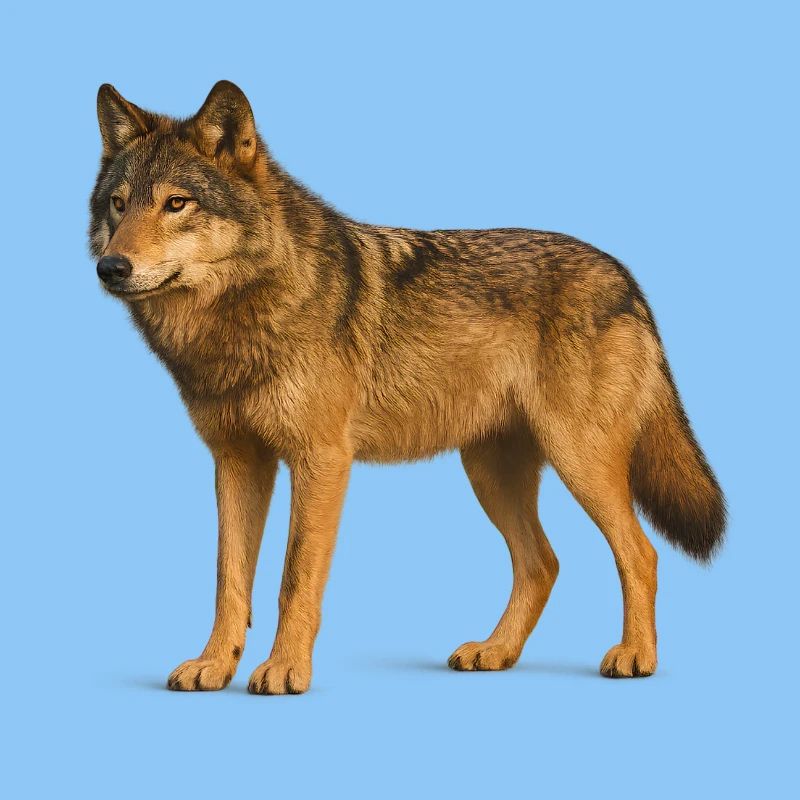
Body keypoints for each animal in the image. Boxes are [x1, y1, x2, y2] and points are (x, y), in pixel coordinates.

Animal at [89, 81, 725, 693]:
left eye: (176, 203)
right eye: (118, 205)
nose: (111, 268)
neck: (239, 318)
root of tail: (627, 278)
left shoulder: (322, 461)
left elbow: (294, 580)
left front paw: (285, 670)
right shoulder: (238, 461)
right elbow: (229, 580)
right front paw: (214, 666)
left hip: (579, 461)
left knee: (640, 553)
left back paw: (635, 656)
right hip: (490, 473)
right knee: (542, 563)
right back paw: (495, 652)